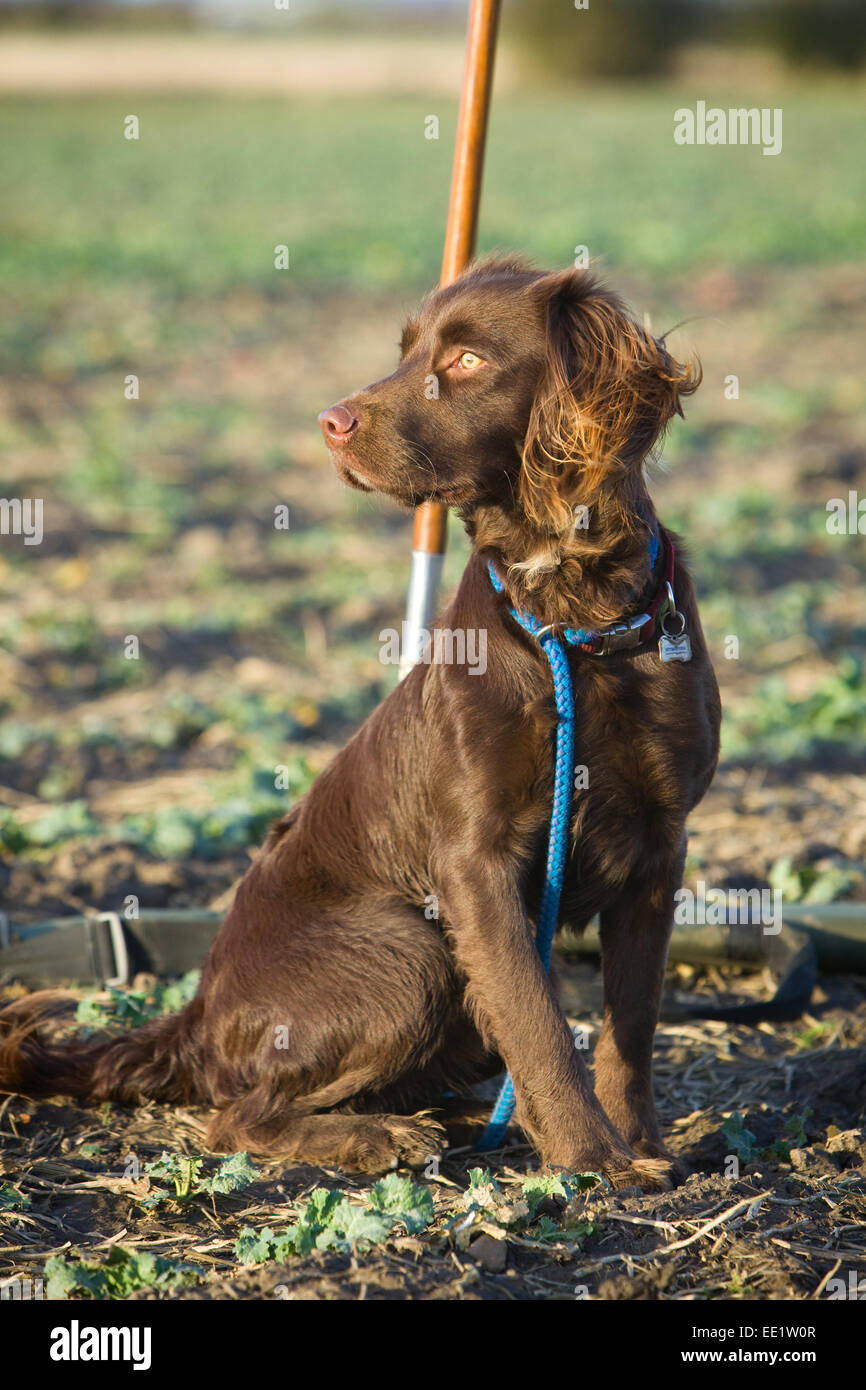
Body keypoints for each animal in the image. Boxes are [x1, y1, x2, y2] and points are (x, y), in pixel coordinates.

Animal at [0, 258, 717, 1184]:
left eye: (469, 361)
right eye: (406, 353)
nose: (329, 422)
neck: (571, 611)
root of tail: (198, 1014)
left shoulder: (659, 849)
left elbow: (631, 1027)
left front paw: (640, 1149)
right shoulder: (474, 865)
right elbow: (539, 1023)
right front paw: (593, 1160)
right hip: (413, 952)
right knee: (236, 1116)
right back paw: (383, 1136)